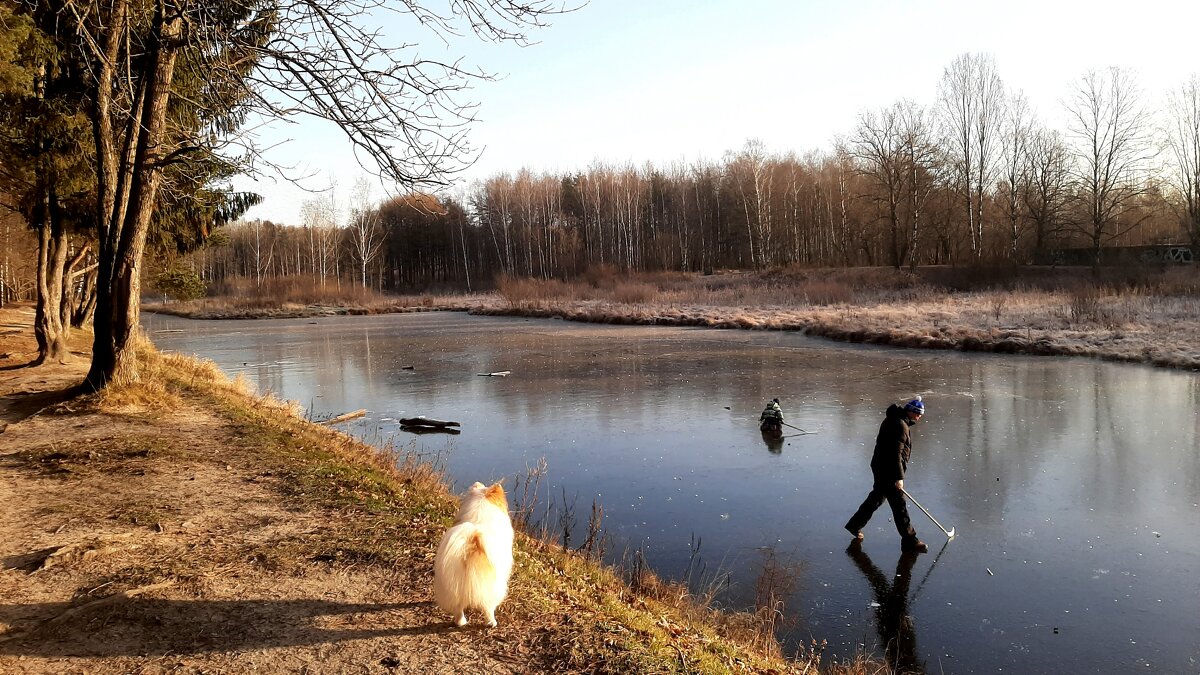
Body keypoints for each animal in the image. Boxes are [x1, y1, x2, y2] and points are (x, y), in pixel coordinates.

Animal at [434, 478, 513, 624]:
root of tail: (471, 541)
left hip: (452, 585)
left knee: (458, 609)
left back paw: (461, 622)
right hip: (492, 588)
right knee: (488, 607)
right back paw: (492, 622)